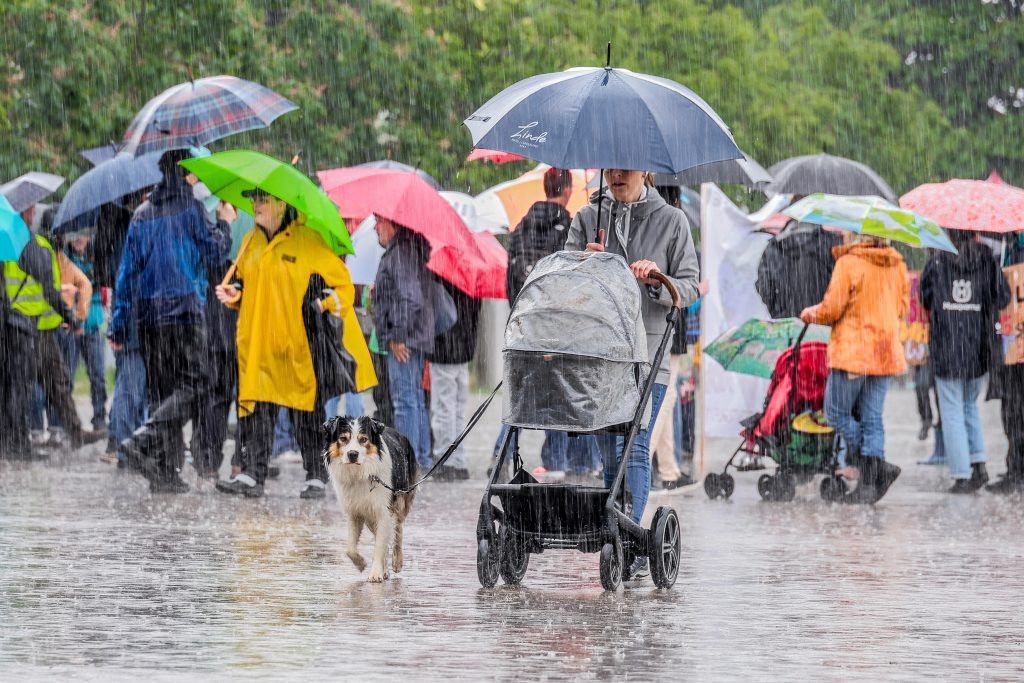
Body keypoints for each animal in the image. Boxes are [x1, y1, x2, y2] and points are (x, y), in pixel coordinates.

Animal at [321, 417, 413, 581]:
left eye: (363, 439)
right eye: (343, 439)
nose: (352, 454)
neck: (360, 473)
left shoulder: (384, 510)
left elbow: (380, 544)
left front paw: (375, 573)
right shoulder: (354, 510)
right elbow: (350, 548)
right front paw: (361, 564)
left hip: (402, 497)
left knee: (398, 530)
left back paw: (397, 562)